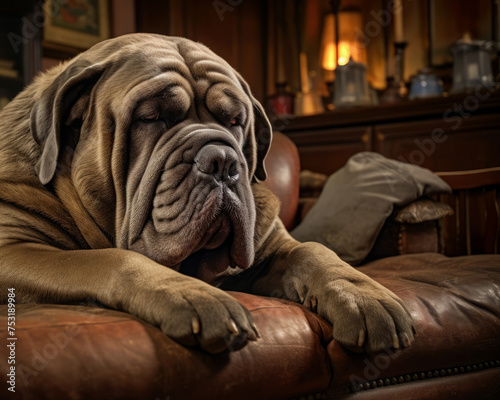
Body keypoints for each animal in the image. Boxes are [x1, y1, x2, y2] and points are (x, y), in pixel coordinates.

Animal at [0, 33, 414, 354]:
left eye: (235, 121)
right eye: (150, 118)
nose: (222, 161)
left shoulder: (271, 243)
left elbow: (314, 250)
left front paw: (365, 297)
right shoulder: (14, 251)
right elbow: (111, 258)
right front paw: (194, 296)